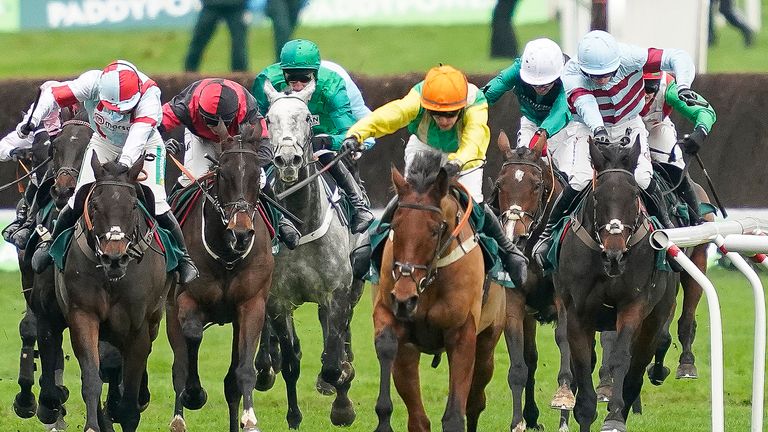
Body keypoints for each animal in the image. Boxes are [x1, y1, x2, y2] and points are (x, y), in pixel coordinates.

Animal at [166, 121, 274, 432]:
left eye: (256, 175)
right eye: (222, 173)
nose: (241, 233)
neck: (226, 256)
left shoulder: (252, 304)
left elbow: (244, 369)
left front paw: (250, 419)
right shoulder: (186, 300)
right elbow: (192, 336)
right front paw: (194, 394)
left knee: (231, 381)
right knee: (179, 364)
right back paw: (179, 416)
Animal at [254, 80, 358, 428]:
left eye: (307, 118)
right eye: (269, 119)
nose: (288, 160)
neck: (301, 225)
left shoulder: (337, 293)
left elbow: (333, 360)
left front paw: (342, 407)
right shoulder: (278, 299)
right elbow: (291, 360)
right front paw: (294, 416)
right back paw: (264, 367)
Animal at [374, 153, 510, 432]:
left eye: (436, 229)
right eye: (394, 225)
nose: (404, 299)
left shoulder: (462, 332)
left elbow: (456, 415)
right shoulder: (388, 310)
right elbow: (386, 343)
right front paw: (383, 419)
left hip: (488, 342)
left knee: (476, 400)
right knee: (418, 418)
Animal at [488, 132, 572, 432]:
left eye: (536, 186)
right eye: (500, 184)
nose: (515, 234)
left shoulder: (564, 302)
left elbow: (566, 346)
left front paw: (564, 409)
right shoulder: (515, 304)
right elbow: (519, 365)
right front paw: (518, 422)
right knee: (532, 358)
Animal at [556, 138, 676, 432]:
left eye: (633, 195)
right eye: (597, 196)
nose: (615, 256)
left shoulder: (633, 306)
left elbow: (621, 358)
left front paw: (614, 416)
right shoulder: (577, 314)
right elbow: (581, 364)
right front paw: (583, 412)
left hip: (655, 319)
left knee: (636, 370)